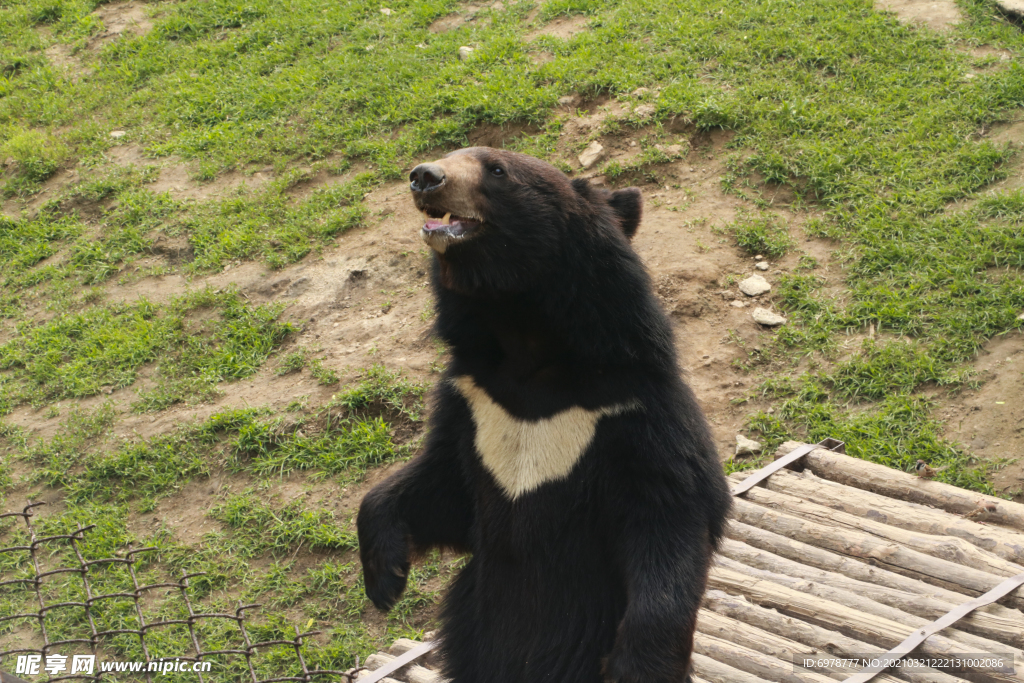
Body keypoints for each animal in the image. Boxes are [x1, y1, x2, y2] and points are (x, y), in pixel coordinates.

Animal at [357, 147, 731, 683]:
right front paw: (385, 579)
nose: (424, 177)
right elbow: (440, 488)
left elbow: (672, 515)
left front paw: (636, 665)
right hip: (473, 625)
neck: (526, 344)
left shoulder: (637, 413)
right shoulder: (473, 402)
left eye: (495, 169)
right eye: (450, 154)